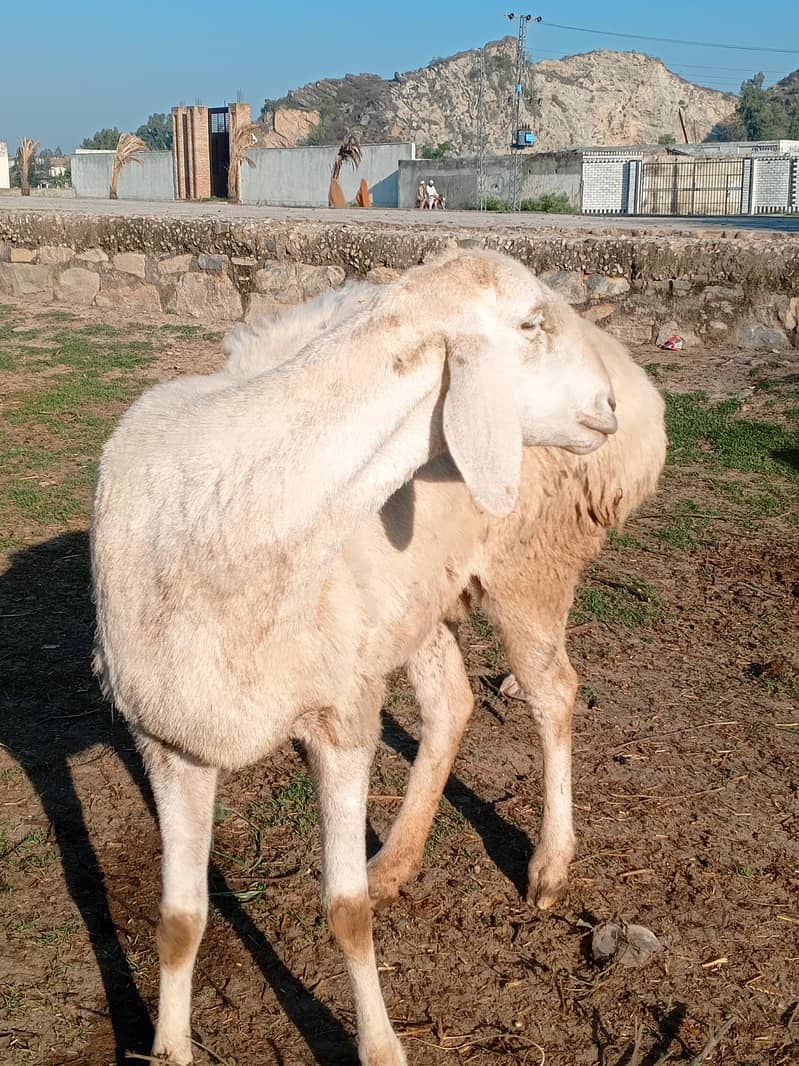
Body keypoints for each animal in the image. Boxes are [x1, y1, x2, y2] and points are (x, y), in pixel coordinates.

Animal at [91, 249, 626, 1066]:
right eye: (532, 324)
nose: (607, 405)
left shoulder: (339, 720)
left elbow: (344, 912)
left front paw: (380, 1046)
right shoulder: (169, 738)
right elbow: (178, 921)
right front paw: (170, 1049)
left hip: (527, 569)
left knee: (555, 694)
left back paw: (548, 864)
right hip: (414, 601)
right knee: (452, 703)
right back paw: (398, 859)